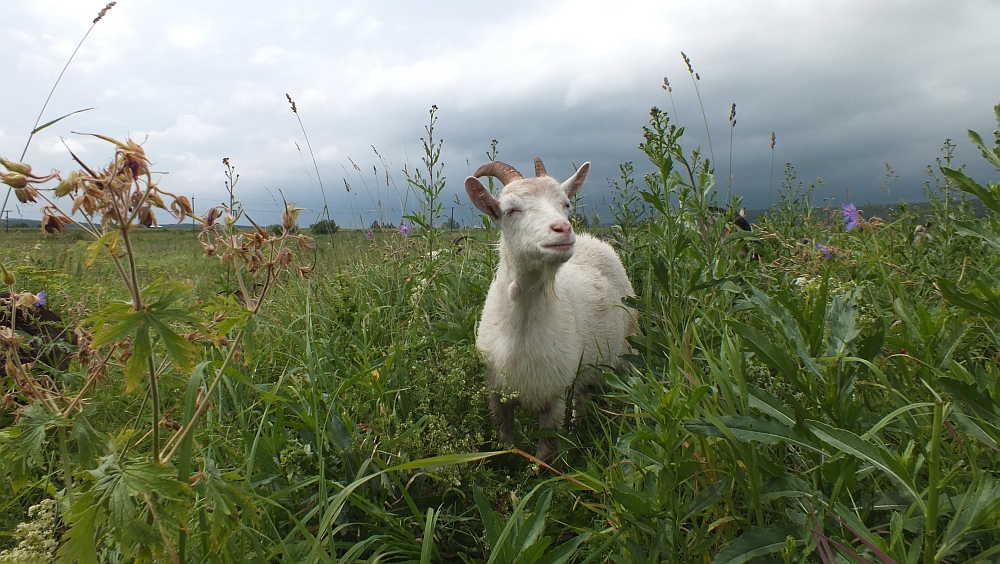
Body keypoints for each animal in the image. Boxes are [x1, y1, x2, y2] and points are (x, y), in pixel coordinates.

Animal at [462, 155, 632, 462]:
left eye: (566, 204)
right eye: (510, 210)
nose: (563, 230)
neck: (522, 326)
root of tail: (592, 239)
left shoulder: (554, 398)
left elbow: (544, 456)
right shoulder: (498, 395)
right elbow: (505, 442)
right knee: (583, 396)